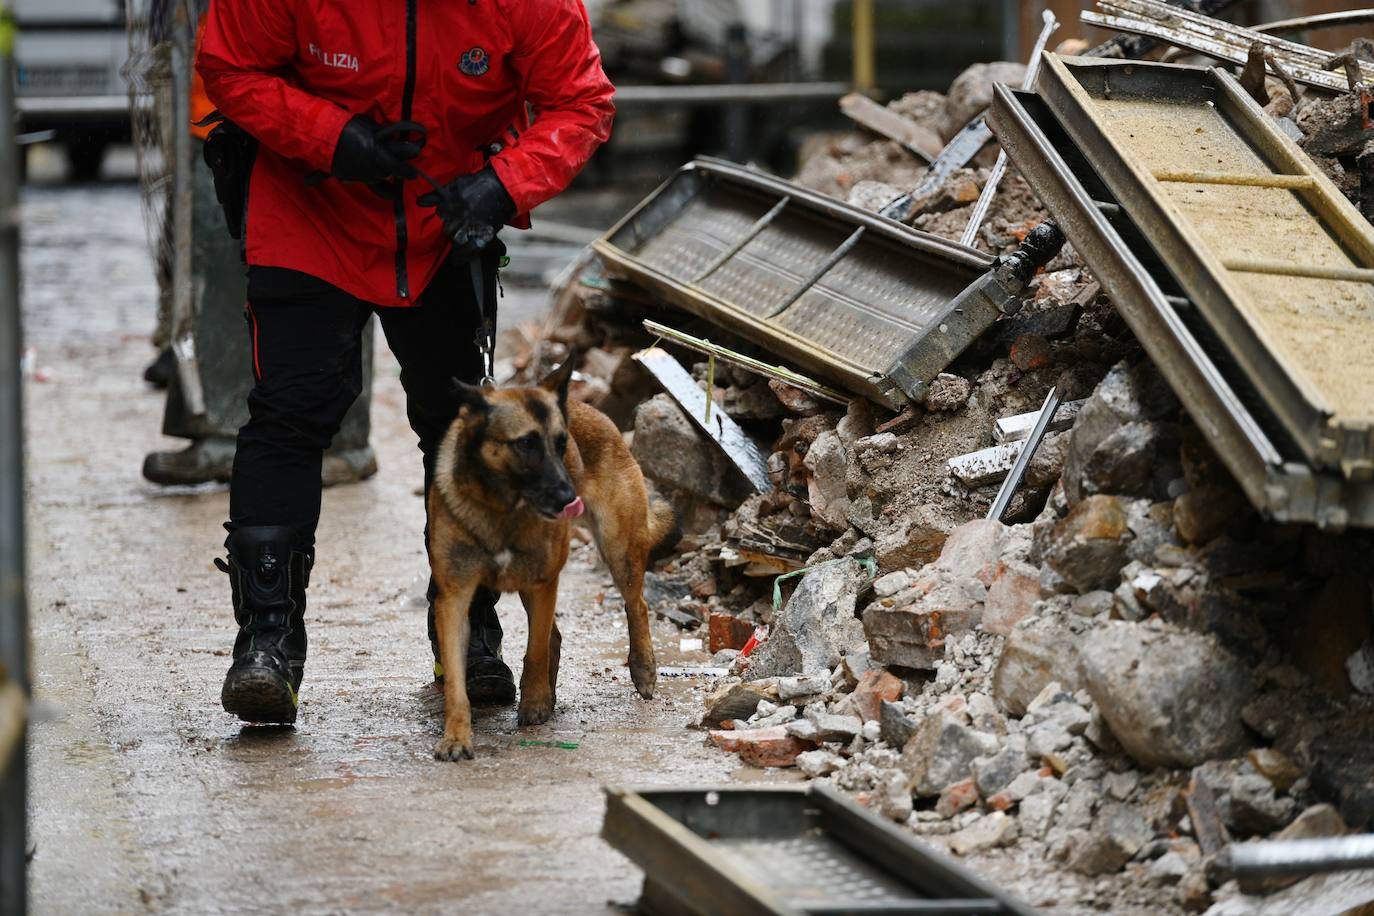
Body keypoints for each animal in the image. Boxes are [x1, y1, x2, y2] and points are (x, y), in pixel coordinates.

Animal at [423, 357, 670, 758]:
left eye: (561, 443)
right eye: (525, 443)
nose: (571, 498)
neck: (502, 508)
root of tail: (590, 409)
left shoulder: (543, 583)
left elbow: (535, 651)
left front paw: (535, 703)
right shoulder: (455, 599)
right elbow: (457, 683)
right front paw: (456, 737)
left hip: (618, 550)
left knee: (637, 606)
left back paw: (643, 669)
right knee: (556, 635)